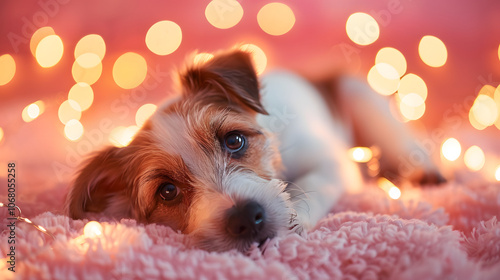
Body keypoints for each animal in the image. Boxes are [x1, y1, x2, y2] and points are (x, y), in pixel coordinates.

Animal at [65, 49, 442, 253]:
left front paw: (295, 217)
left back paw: (423, 171)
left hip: (358, 94)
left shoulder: (330, 160)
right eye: (167, 191)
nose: (246, 218)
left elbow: (311, 186)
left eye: (234, 141)